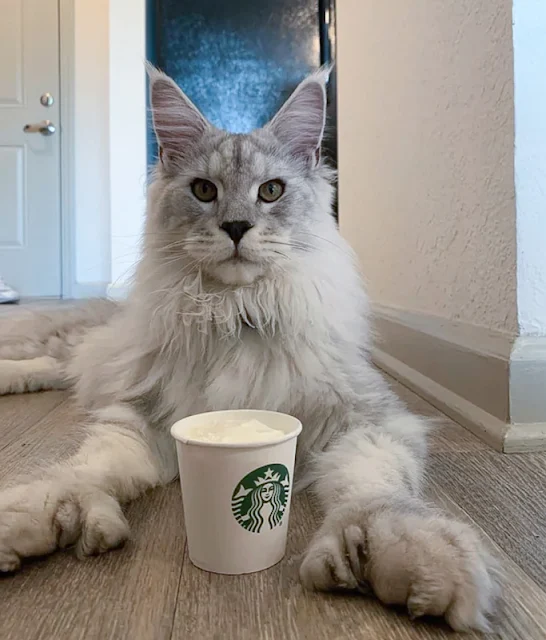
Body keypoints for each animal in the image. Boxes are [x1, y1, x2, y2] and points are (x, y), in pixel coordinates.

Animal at [0, 65, 498, 632]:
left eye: (272, 191)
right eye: (203, 190)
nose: (236, 227)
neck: (237, 313)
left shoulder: (366, 417)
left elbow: (374, 488)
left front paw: (400, 550)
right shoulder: (142, 411)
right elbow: (88, 468)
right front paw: (49, 509)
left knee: (52, 368)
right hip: (78, 344)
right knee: (44, 358)